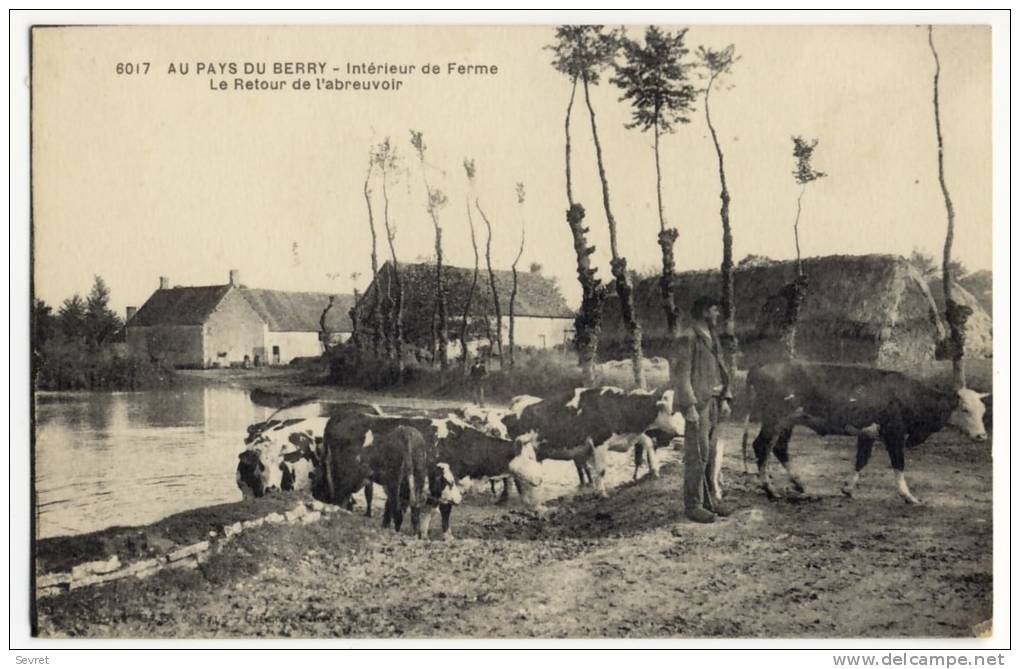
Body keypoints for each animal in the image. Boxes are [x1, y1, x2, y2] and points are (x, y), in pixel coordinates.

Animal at [742, 363, 987, 503]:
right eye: (965, 409)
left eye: (983, 411)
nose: (982, 436)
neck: (908, 395)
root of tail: (761, 368)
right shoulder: (894, 433)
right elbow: (898, 464)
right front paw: (908, 496)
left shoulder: (867, 433)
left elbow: (861, 460)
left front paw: (848, 489)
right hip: (775, 418)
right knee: (761, 446)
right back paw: (770, 490)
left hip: (788, 422)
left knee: (779, 448)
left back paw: (799, 483)